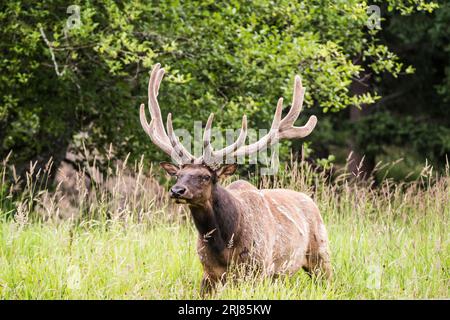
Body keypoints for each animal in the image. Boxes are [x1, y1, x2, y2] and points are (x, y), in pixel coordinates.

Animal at [139, 63, 332, 296]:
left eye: (205, 176)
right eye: (178, 175)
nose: (177, 191)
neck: (225, 244)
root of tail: (311, 201)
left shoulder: (256, 270)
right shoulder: (209, 273)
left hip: (321, 253)